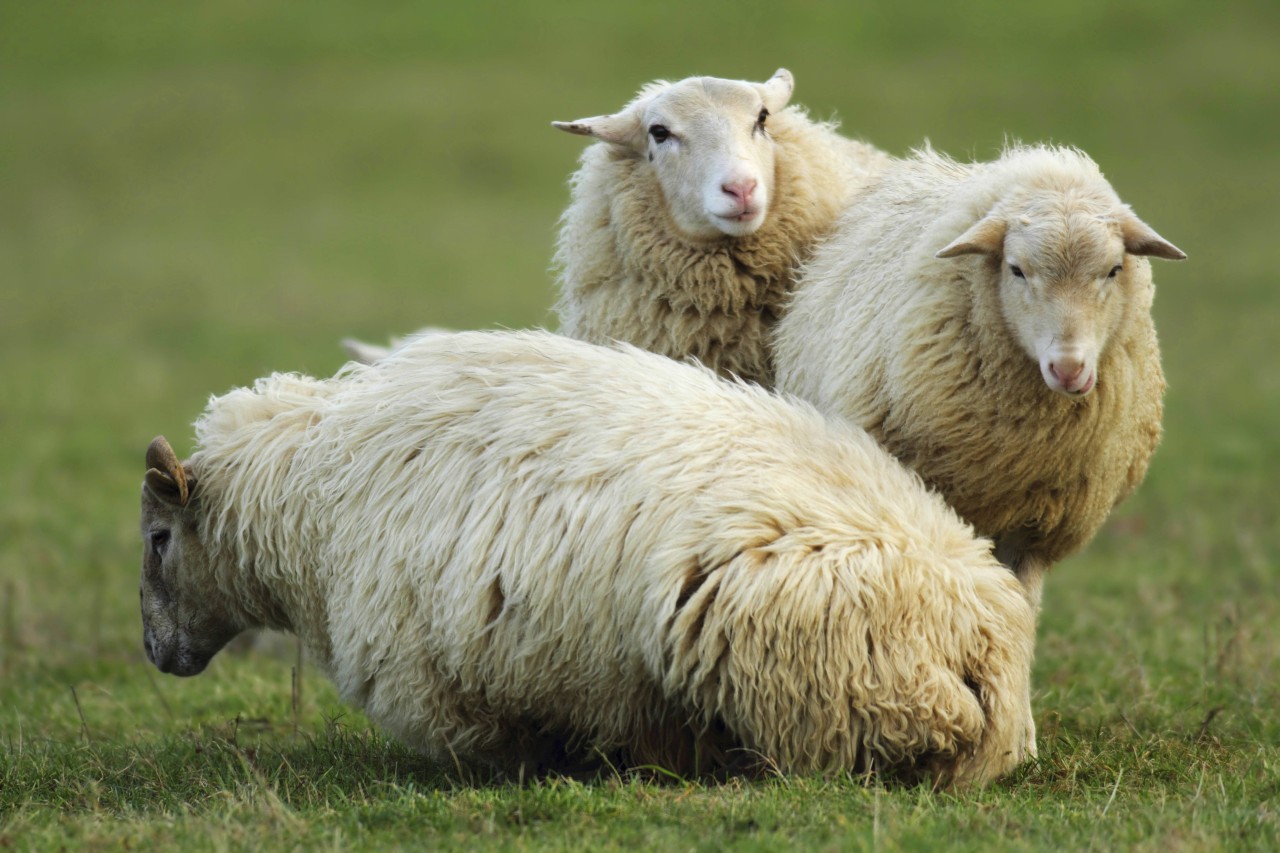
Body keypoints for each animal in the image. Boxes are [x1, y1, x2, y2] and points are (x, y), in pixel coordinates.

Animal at [142, 327, 1039, 788]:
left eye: (158, 538)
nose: (155, 654)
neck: (307, 489)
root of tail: (989, 636)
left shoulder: (443, 673)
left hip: (797, 662)